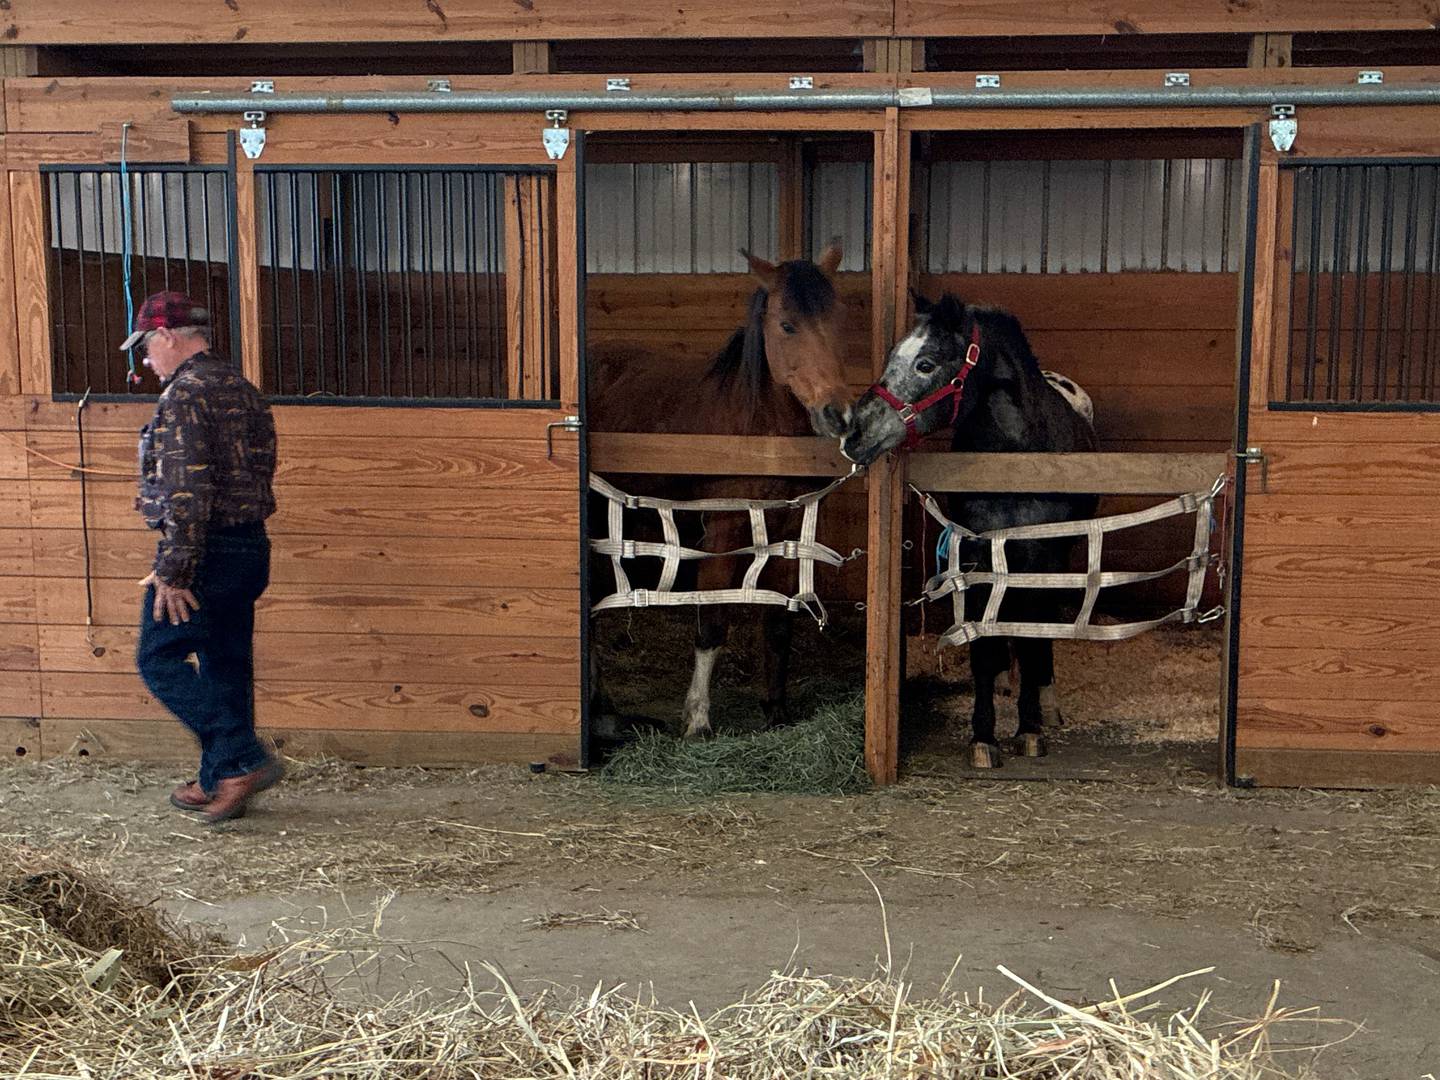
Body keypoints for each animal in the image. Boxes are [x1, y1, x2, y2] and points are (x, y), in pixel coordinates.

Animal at [587, 243, 854, 741]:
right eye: (787, 325)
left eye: (839, 321)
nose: (838, 414)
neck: (755, 429)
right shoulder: (723, 531)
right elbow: (711, 623)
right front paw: (697, 721)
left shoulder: (788, 529)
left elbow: (778, 623)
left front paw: (776, 712)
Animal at [840, 293, 1098, 769]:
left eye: (925, 363)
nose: (854, 434)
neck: (1015, 461)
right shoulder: (977, 558)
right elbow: (985, 648)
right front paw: (983, 737)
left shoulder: (1040, 558)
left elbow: (1032, 641)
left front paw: (1030, 729)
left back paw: (1046, 704)